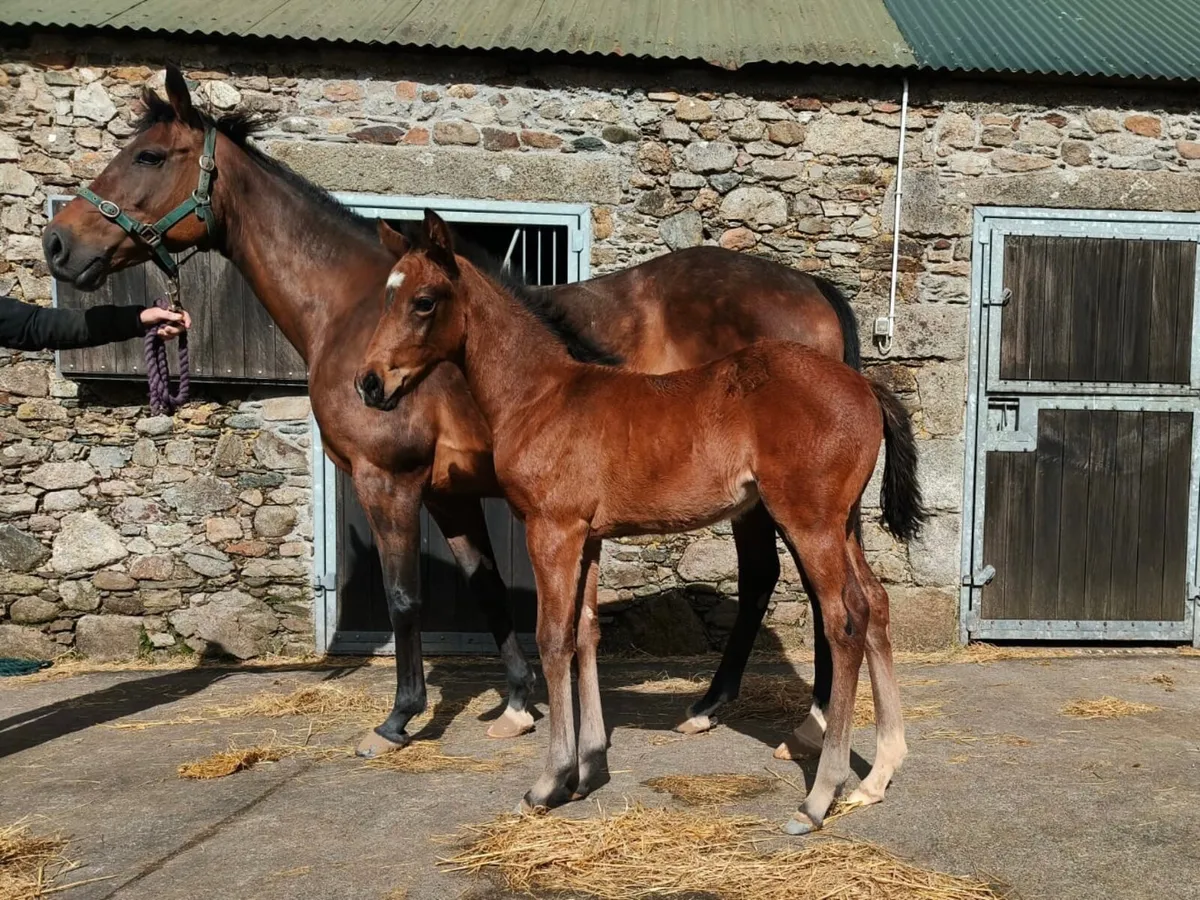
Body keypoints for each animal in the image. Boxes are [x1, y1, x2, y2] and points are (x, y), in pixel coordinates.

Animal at [43, 65, 867, 759]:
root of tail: (811, 290)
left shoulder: (389, 480)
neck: (355, 312)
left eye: (150, 156)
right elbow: (484, 587)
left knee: (788, 583)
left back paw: (777, 715)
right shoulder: (449, 492)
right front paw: (520, 703)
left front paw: (398, 718)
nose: (58, 245)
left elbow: (406, 597)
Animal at [357, 211, 926, 833]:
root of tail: (865, 386)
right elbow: (585, 632)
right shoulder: (587, 538)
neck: (542, 395)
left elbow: (552, 638)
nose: (369, 383)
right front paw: (586, 770)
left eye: (424, 301)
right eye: (385, 298)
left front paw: (548, 782)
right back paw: (877, 776)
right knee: (875, 605)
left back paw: (819, 796)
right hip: (841, 523)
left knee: (843, 621)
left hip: (809, 520)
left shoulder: (551, 530)